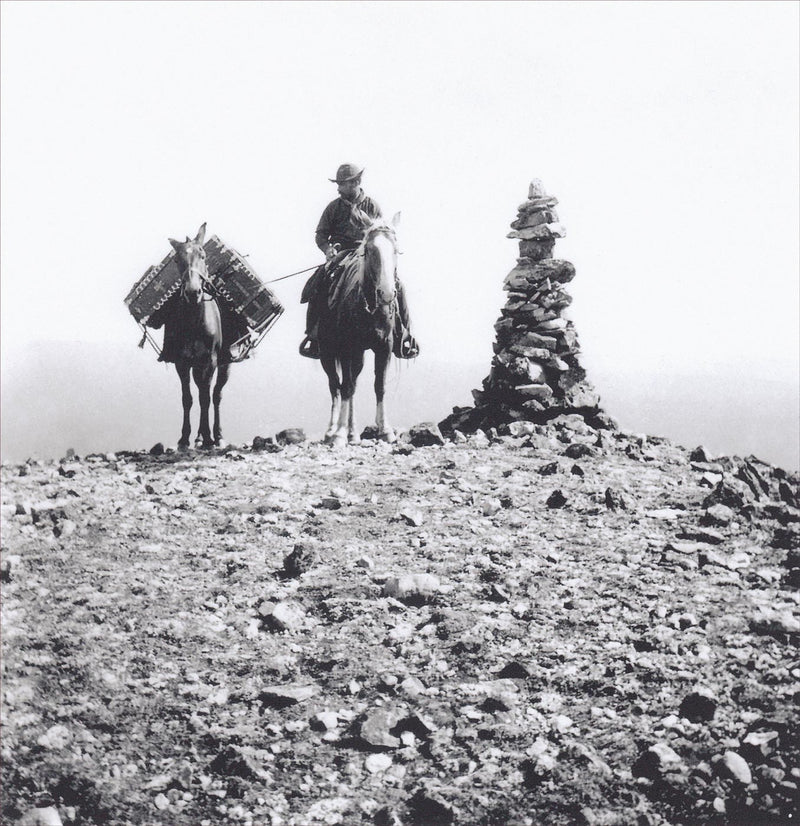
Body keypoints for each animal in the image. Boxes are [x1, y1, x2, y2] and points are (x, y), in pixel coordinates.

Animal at [318, 212, 400, 444]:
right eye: (370, 250)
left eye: (395, 250)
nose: (387, 293)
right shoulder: (346, 348)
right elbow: (345, 387)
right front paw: (339, 435)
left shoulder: (384, 347)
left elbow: (379, 385)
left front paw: (386, 430)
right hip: (327, 353)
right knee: (336, 386)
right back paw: (332, 430)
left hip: (358, 355)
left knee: (351, 383)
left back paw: (352, 432)